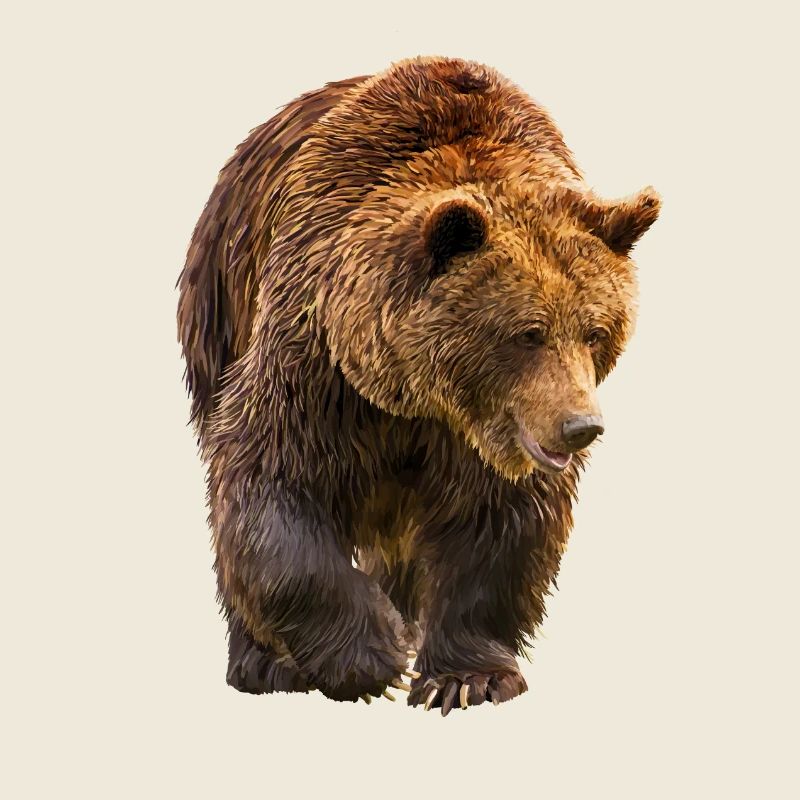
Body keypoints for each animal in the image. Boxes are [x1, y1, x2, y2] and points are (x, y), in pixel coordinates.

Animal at [177, 56, 660, 715]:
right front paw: (370, 659)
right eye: (529, 333)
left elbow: (500, 523)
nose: (581, 426)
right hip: (221, 301)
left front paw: (467, 677)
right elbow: (271, 481)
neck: (418, 394)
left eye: (595, 331)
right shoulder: (316, 361)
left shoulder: (488, 437)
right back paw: (263, 663)